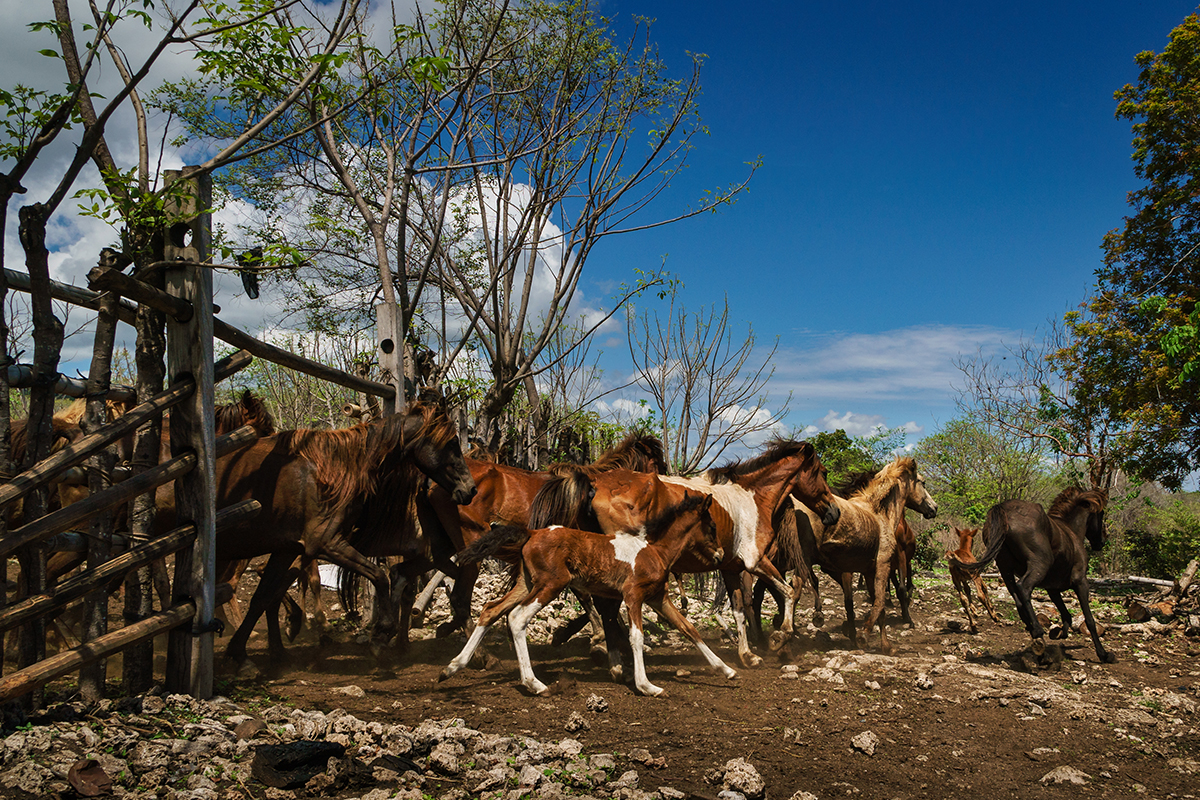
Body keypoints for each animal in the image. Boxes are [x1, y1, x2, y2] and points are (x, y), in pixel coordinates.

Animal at [154, 398, 477, 662]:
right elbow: (380, 576)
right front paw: (382, 633)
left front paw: (241, 652)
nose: (470, 489)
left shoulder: (288, 549)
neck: (334, 470)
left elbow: (263, 596)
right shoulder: (325, 543)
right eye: (451, 443)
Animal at [441, 491, 734, 695]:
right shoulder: (633, 595)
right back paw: (534, 684)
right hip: (551, 584)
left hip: (527, 583)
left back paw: (452, 667)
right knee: (516, 618)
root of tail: (531, 532)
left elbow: (688, 628)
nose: (720, 554)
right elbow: (637, 637)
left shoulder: (658, 598)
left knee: (491, 610)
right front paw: (647, 686)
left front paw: (727, 670)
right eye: (712, 527)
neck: (654, 550)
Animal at [530, 438, 840, 671]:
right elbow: (789, 593)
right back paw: (616, 660)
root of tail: (596, 485)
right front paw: (780, 638)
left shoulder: (731, 568)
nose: (834, 513)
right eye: (823, 472)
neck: (752, 498)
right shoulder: (755, 562)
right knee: (605, 605)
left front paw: (747, 656)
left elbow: (739, 611)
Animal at [787, 460, 936, 652]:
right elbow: (878, 602)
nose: (934, 508)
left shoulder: (869, 571)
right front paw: (863, 635)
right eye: (923, 482)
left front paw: (884, 645)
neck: (880, 513)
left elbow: (875, 605)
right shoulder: (882, 564)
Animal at [945, 489, 1113, 662]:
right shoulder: (1081, 582)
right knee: (1023, 588)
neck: (1070, 530)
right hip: (1038, 564)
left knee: (1017, 599)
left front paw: (1058, 633)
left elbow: (1067, 614)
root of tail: (1002, 508)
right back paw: (1037, 632)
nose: (1102, 541)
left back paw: (1035, 638)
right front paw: (1103, 654)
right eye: (1101, 514)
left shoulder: (1052, 589)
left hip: (1005, 569)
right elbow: (1089, 619)